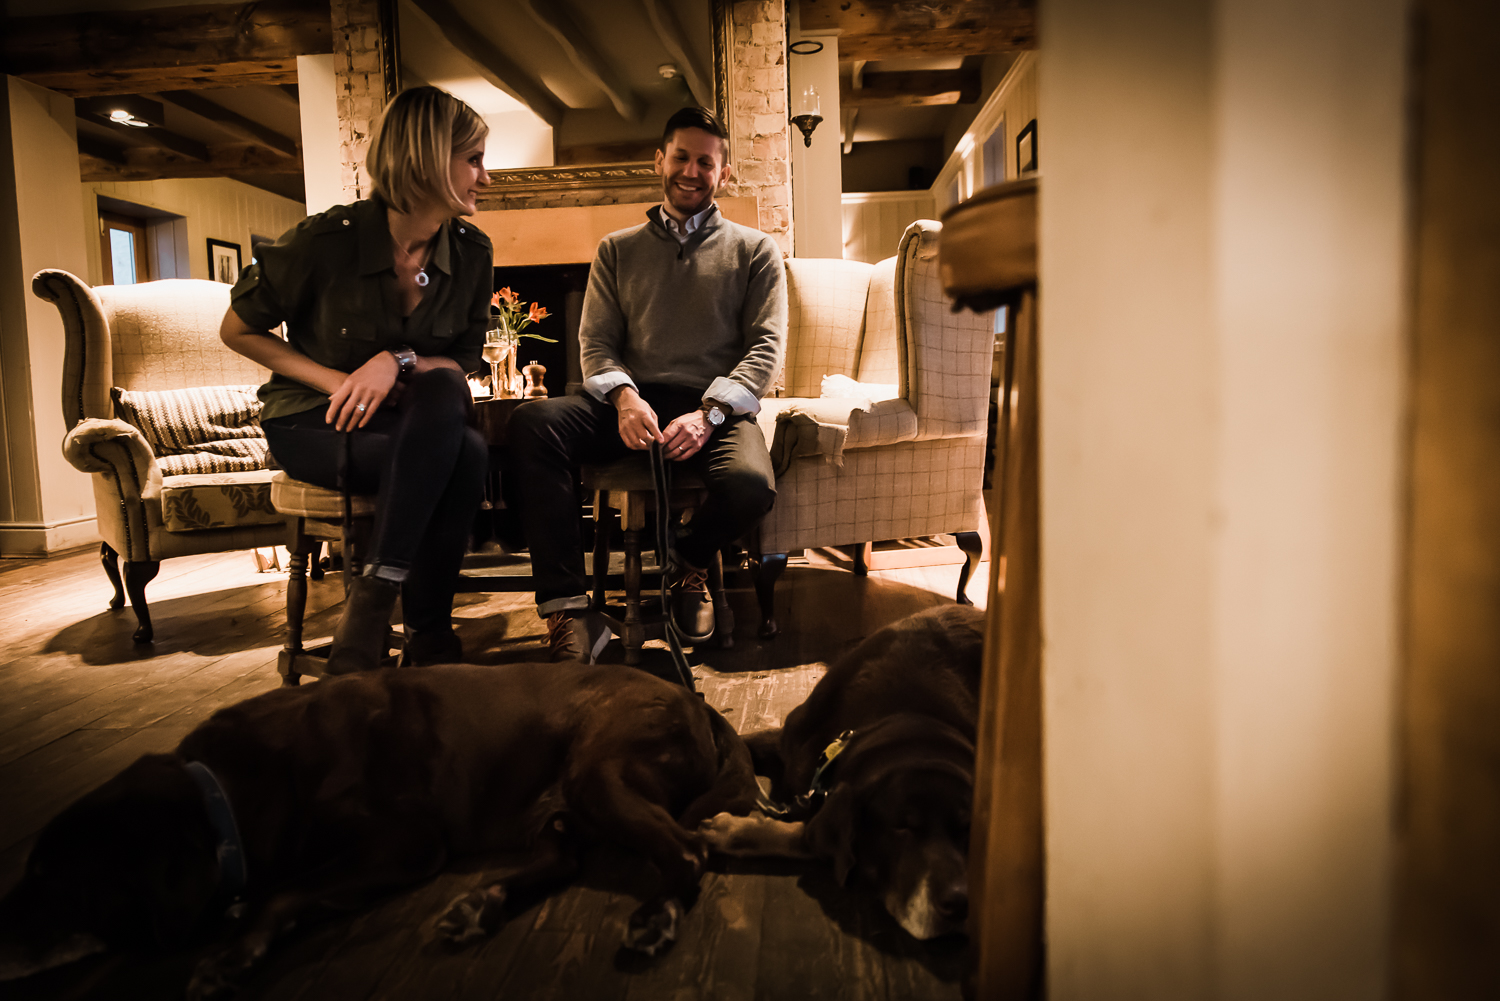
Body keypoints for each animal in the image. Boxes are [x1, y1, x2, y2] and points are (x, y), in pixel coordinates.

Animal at [0, 660, 756, 996]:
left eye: (48, 873)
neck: (226, 792)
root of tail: (697, 700)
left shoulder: (404, 843)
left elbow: (285, 891)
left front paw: (234, 954)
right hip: (561, 800)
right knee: (565, 859)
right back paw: (481, 905)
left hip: (596, 771)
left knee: (687, 850)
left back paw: (655, 917)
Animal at [699, 603, 984, 942]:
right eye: (901, 827)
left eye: (968, 828)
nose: (960, 902)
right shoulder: (788, 742)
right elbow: (738, 745)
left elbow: (807, 835)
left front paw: (732, 829)